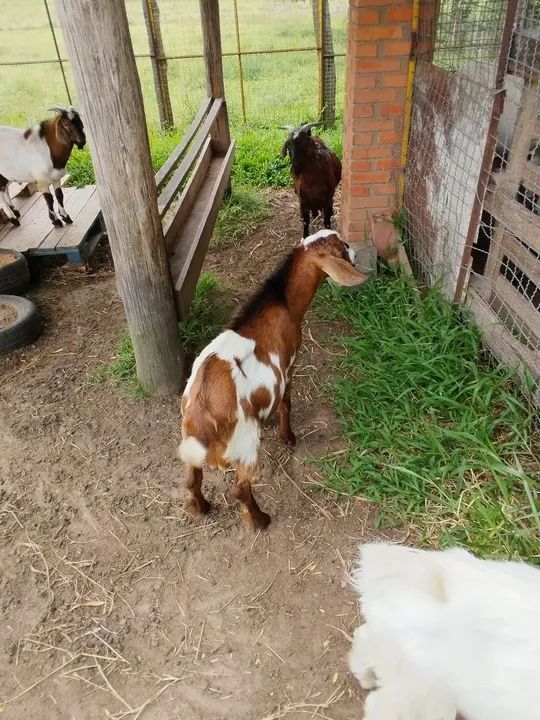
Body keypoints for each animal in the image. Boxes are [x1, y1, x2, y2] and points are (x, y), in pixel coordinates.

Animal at [179, 230, 369, 530]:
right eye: (342, 247)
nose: (354, 251)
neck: (283, 302)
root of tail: (201, 412)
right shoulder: (288, 365)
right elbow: (286, 402)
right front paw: (288, 438)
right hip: (243, 441)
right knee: (239, 488)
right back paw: (260, 520)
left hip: (189, 440)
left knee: (191, 477)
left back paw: (202, 507)